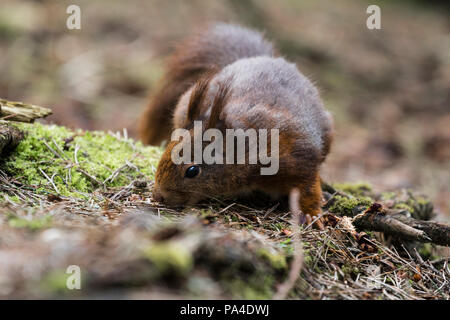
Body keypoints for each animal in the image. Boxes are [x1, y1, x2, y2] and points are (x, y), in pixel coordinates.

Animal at [139, 23, 332, 216]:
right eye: (166, 151)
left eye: (192, 171)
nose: (158, 196)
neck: (244, 150)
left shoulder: (296, 155)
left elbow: (307, 186)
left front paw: (311, 213)